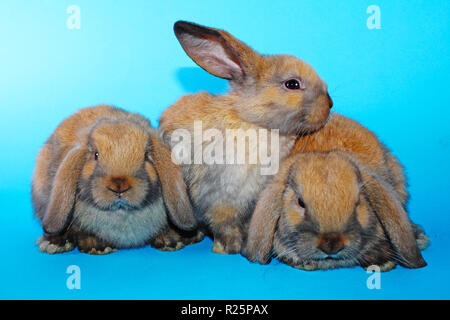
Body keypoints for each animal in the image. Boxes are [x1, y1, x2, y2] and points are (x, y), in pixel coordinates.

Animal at [31, 105, 200, 255]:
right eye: (96, 155)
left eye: (146, 156)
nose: (119, 186)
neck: (121, 215)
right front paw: (96, 246)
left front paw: (169, 241)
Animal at [157, 20, 330, 255]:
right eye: (292, 84)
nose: (330, 104)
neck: (254, 123)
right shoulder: (220, 198)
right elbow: (224, 223)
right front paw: (231, 246)